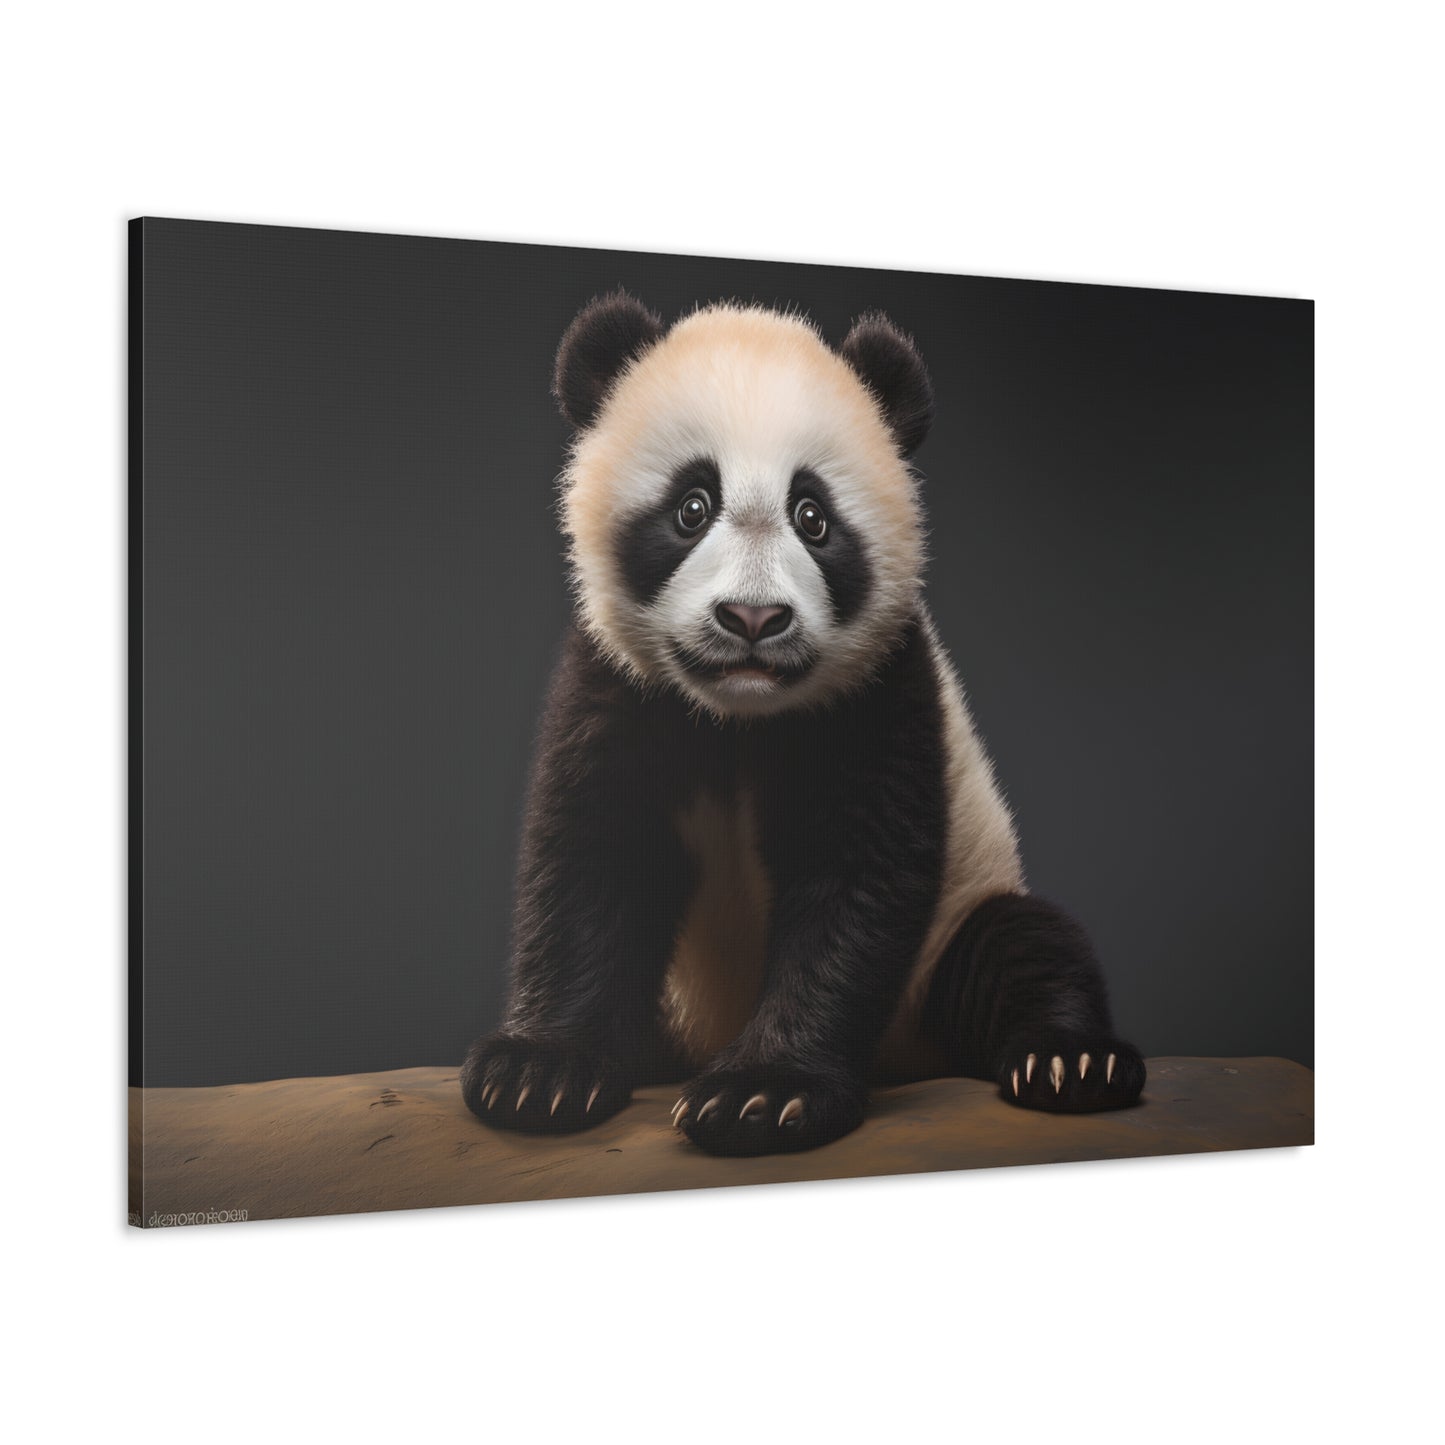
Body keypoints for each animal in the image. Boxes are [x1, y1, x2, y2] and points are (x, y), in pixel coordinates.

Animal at [460, 291, 1146, 1157]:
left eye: (812, 516)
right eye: (692, 506)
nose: (752, 618)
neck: (738, 717)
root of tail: (903, 1061)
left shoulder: (877, 695)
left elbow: (854, 880)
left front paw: (762, 1093)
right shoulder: (618, 688)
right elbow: (594, 858)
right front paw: (537, 1073)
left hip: (958, 918)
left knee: (1022, 945)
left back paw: (1070, 1062)